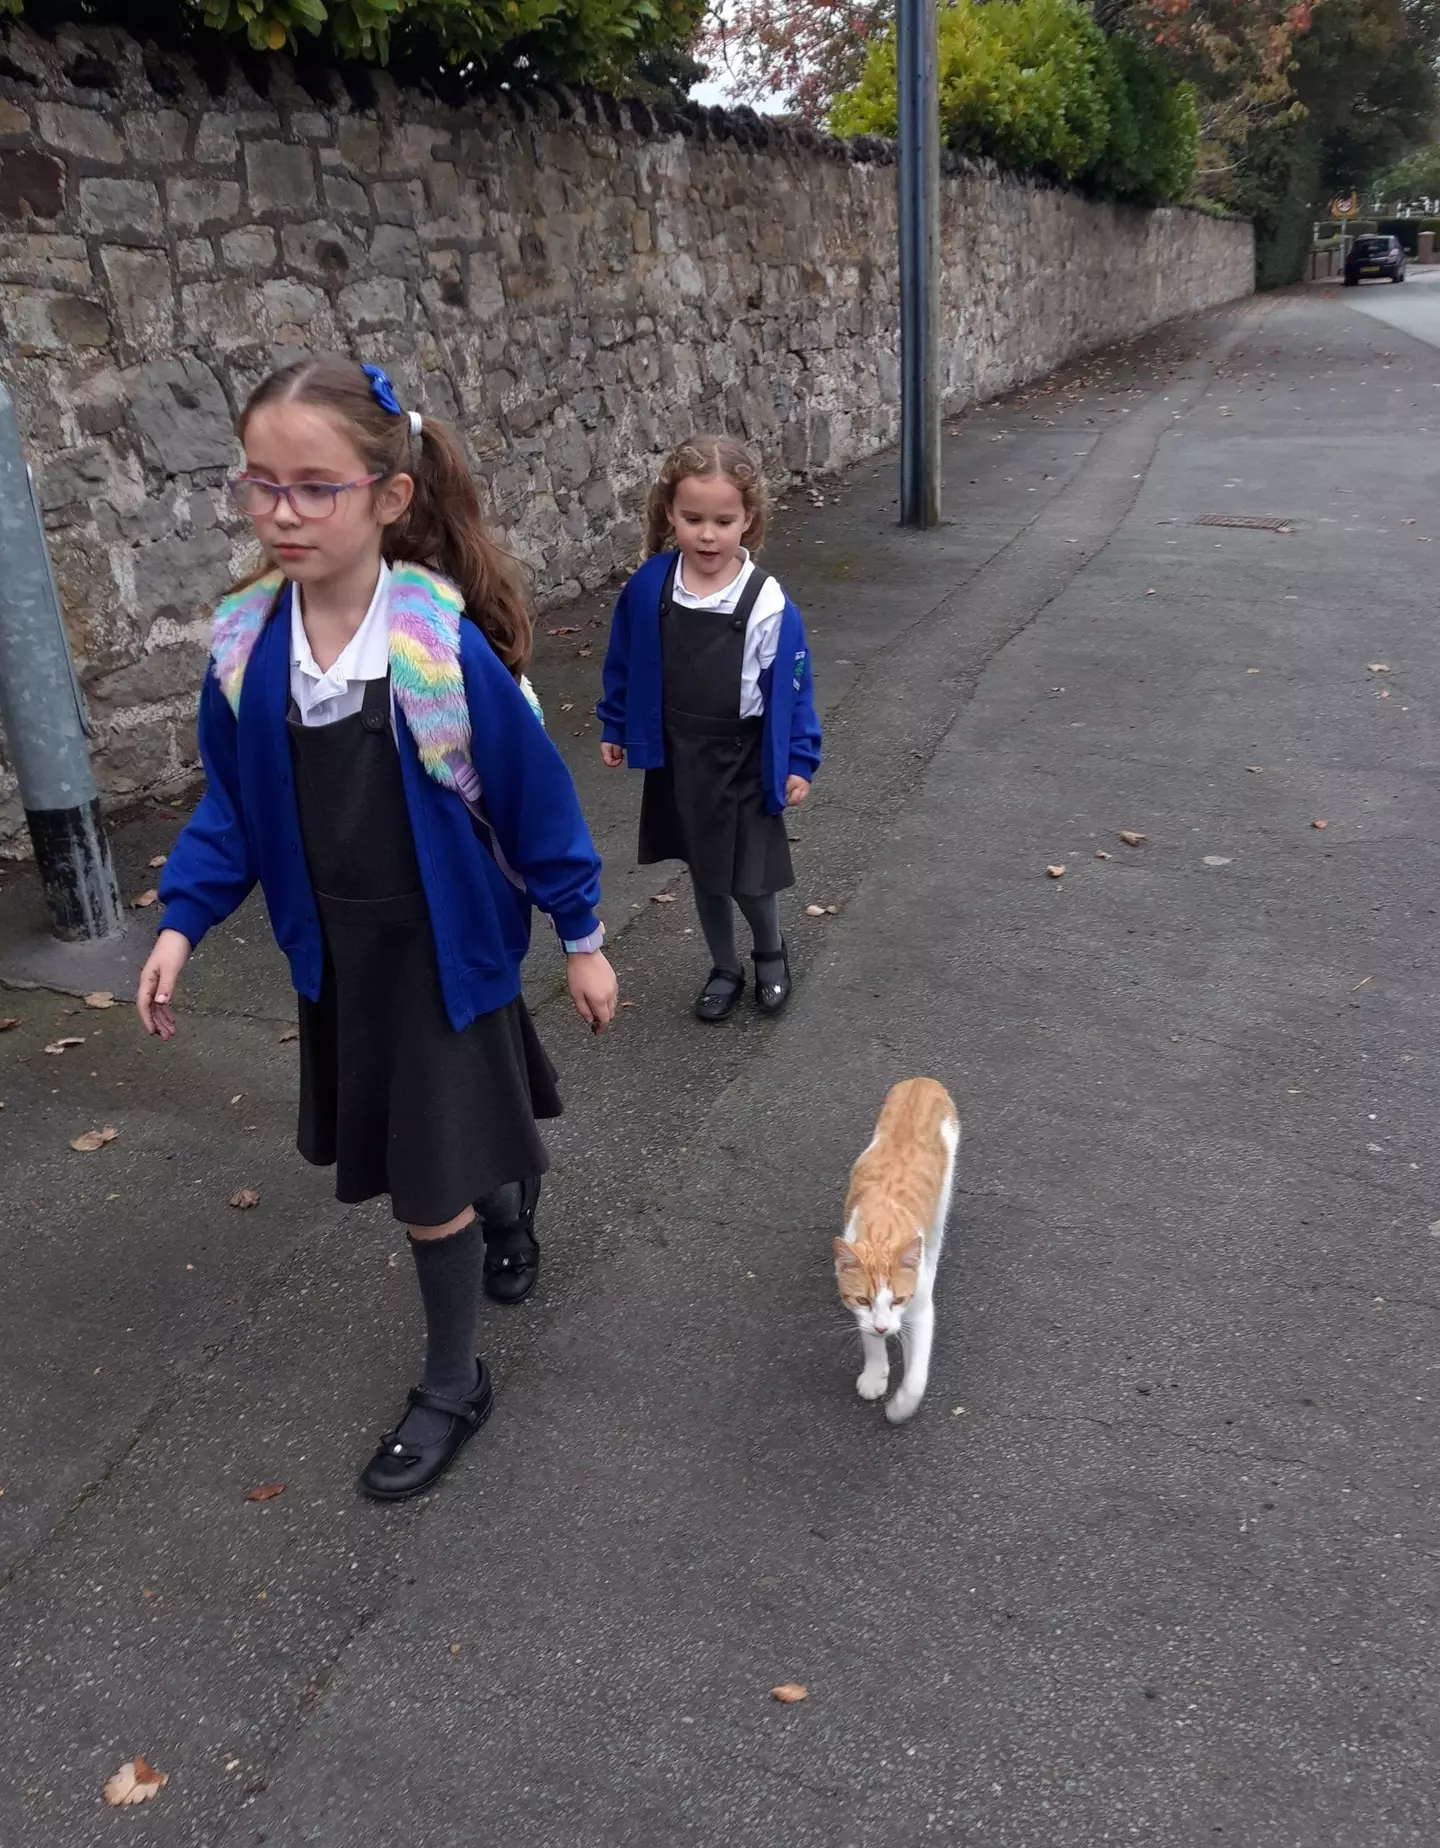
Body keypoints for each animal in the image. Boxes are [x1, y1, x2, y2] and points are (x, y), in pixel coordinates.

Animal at [831, 1079, 953, 1419]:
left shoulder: (921, 1311)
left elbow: (916, 1379)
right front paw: (876, 1374)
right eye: (863, 1299)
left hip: (945, 1191)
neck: (881, 1237)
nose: (885, 1328)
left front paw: (899, 1408)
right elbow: (869, 1336)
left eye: (898, 1299)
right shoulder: (861, 1310)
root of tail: (922, 1080)